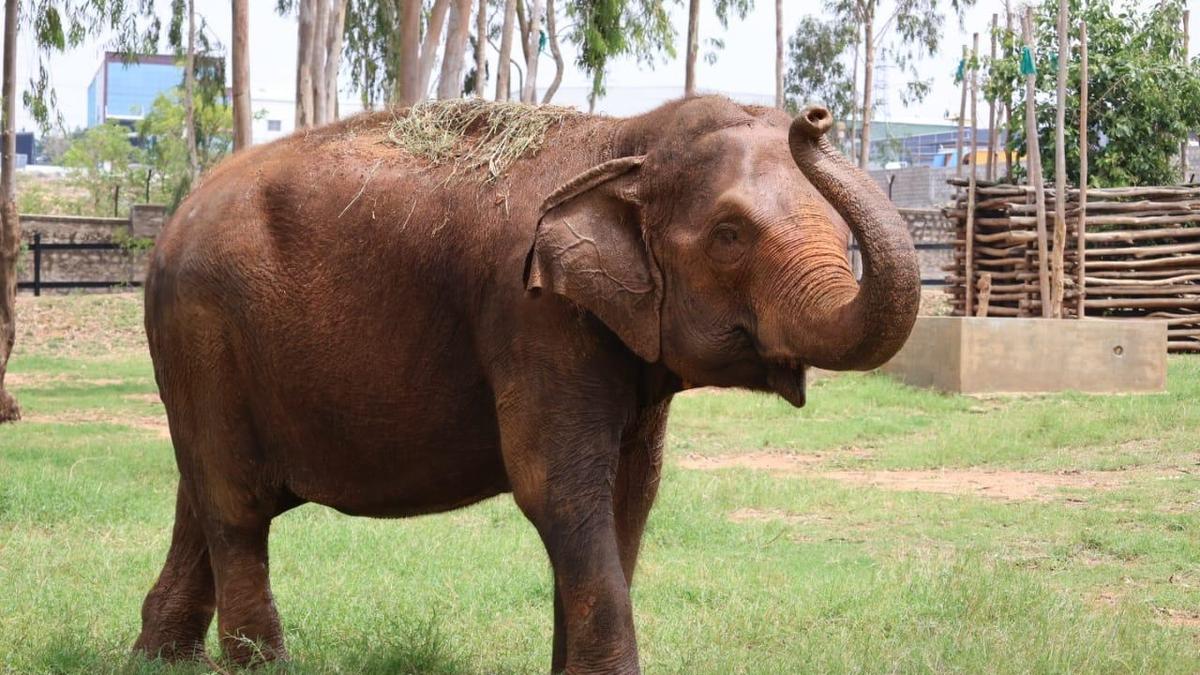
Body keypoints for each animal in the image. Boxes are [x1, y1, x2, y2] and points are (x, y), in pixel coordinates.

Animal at [133, 96, 919, 673]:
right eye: (729, 234)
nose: (814, 117)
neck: (623, 140)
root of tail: (172, 223)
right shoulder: (531, 316)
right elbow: (559, 490)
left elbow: (633, 491)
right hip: (203, 329)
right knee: (235, 506)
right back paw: (255, 666)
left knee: (201, 495)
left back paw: (161, 659)